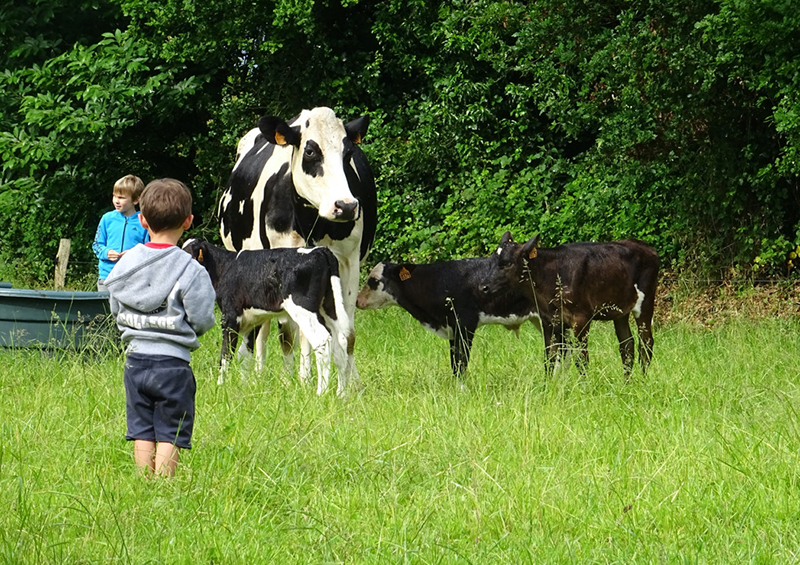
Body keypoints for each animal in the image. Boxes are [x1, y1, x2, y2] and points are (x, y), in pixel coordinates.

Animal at [182, 239, 350, 396]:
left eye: (188, 253)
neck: (225, 267)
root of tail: (320, 250)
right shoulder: (252, 322)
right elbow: (245, 354)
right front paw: (244, 386)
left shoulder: (230, 318)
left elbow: (226, 353)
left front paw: (220, 385)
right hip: (329, 307)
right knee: (340, 341)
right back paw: (341, 394)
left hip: (304, 310)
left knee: (322, 341)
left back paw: (322, 392)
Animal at [217, 107, 376, 391]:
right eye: (310, 151)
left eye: (348, 154)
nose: (346, 206)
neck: (313, 223)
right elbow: (290, 334)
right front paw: (297, 379)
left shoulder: (349, 261)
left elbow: (348, 330)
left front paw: (350, 382)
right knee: (266, 330)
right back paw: (261, 374)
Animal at [356, 258, 540, 377]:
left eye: (373, 280)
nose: (357, 301)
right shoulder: (452, 329)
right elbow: (454, 362)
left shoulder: (465, 324)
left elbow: (461, 360)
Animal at [490, 232, 660, 375]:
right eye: (493, 260)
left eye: (508, 263)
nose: (485, 286)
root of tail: (646, 247)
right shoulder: (548, 320)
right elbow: (549, 358)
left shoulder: (581, 319)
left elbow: (581, 359)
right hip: (620, 310)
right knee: (627, 345)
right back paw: (627, 384)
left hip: (645, 302)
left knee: (645, 344)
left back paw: (642, 381)